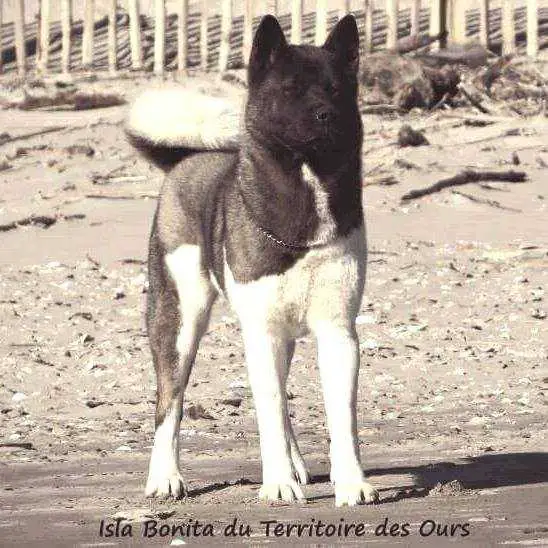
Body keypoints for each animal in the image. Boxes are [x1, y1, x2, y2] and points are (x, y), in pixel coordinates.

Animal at [126, 15, 378, 508]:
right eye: (291, 89)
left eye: (335, 89)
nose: (327, 114)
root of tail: (185, 160)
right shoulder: (261, 334)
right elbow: (268, 414)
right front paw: (277, 483)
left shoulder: (338, 334)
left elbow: (342, 417)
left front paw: (351, 483)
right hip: (179, 322)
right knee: (170, 402)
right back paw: (165, 476)